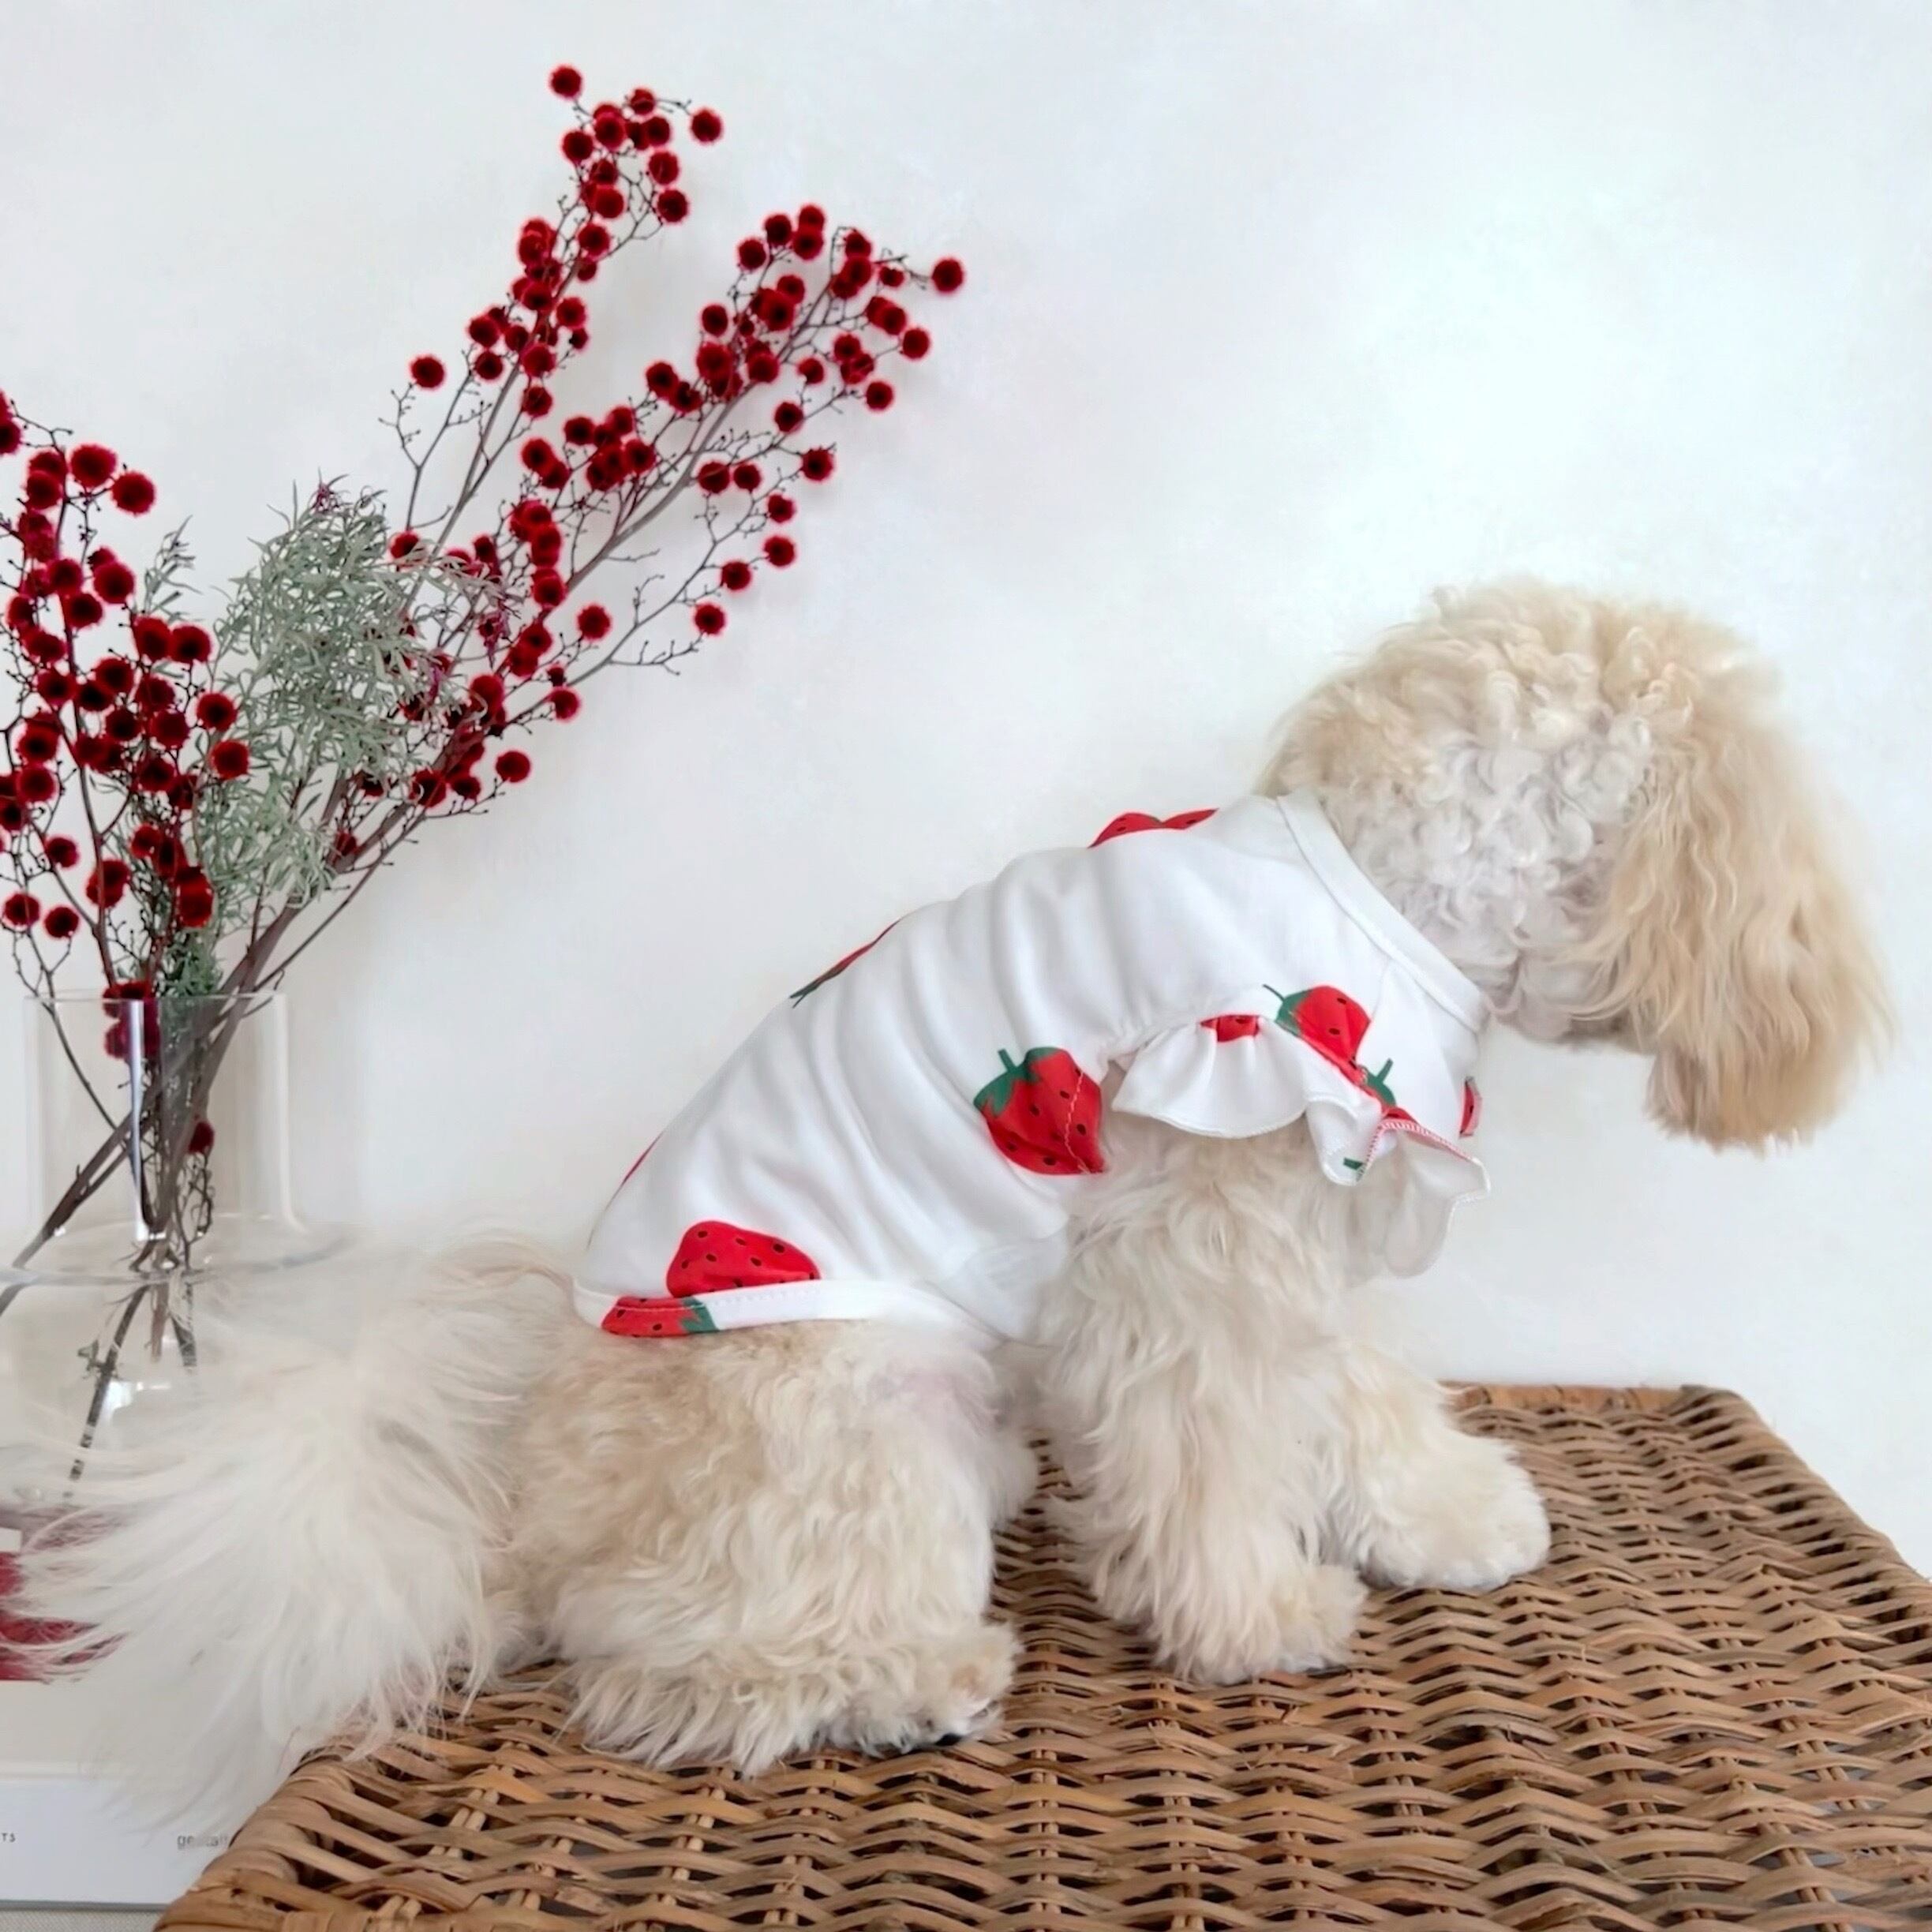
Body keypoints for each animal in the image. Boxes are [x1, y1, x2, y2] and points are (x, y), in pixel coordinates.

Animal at [20, 580, 1889, 1793]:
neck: (1371, 888)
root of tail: (517, 1525)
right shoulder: (1190, 1251)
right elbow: (1217, 1453)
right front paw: (1257, 1613)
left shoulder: (1300, 1209)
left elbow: (1357, 1395)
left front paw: (1442, 1517)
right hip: (859, 1416)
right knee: (658, 1679)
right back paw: (902, 1680)